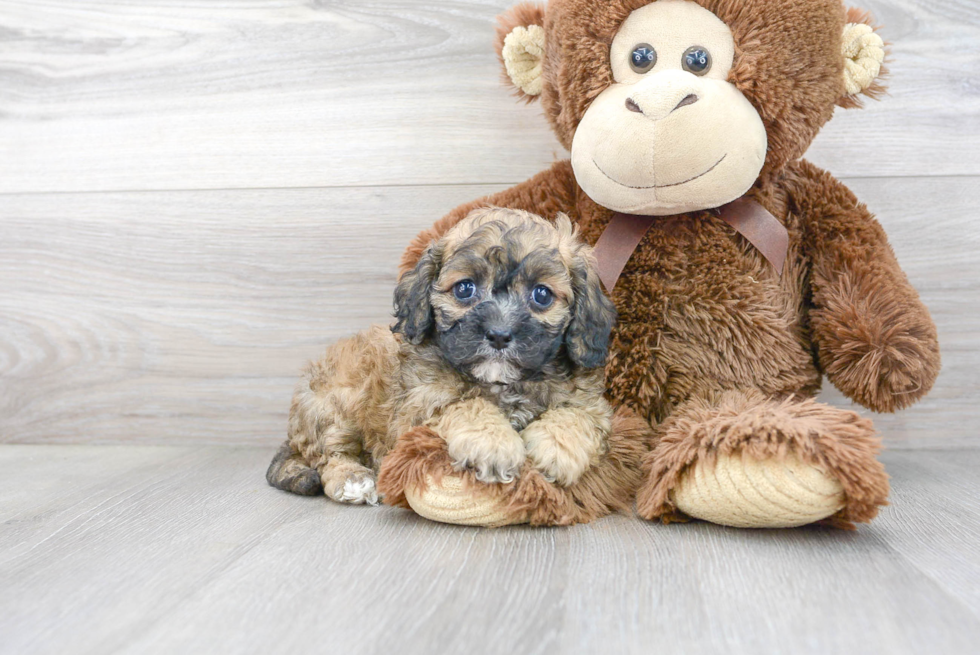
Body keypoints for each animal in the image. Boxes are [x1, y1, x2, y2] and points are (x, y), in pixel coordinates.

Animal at [266, 208, 620, 504]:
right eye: (465, 289)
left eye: (542, 295)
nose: (499, 334)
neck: (504, 384)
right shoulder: (419, 407)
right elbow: (467, 405)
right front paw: (494, 444)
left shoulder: (589, 404)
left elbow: (575, 415)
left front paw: (555, 449)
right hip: (336, 401)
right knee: (330, 454)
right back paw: (353, 479)